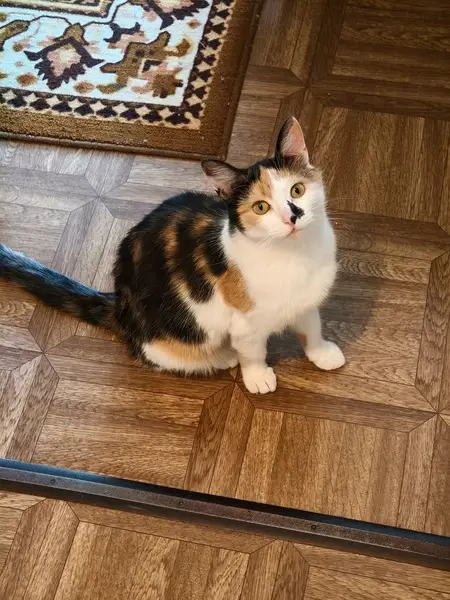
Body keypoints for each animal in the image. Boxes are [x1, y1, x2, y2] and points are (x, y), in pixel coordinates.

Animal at [0, 117, 345, 394]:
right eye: (261, 207)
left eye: (297, 190)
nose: (293, 216)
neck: (296, 256)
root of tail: (120, 305)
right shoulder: (245, 325)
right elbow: (253, 352)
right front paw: (258, 377)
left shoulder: (306, 301)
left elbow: (312, 328)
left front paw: (323, 353)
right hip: (174, 337)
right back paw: (223, 356)